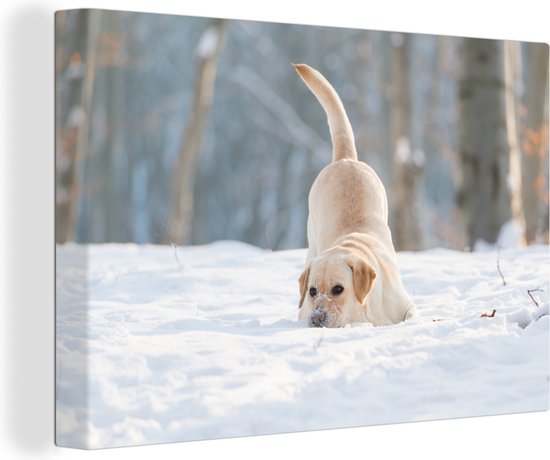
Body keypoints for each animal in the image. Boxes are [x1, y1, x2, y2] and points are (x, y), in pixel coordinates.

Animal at [296, 63, 416, 328]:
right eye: (312, 291)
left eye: (338, 289)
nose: (316, 318)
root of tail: (345, 158)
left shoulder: (406, 304)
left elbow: (410, 315)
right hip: (312, 241)